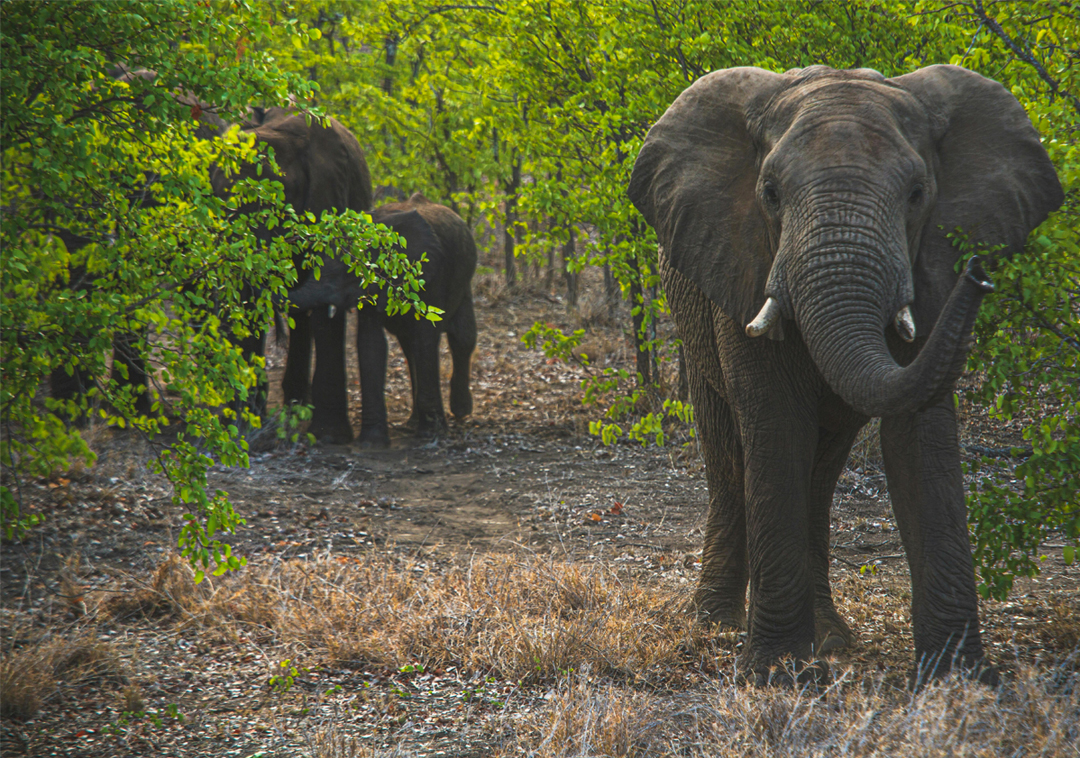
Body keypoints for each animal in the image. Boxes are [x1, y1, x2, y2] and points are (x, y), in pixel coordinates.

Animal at [287, 193, 477, 449]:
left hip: (464, 279)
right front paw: (372, 442)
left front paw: (432, 434)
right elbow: (371, 344)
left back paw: (460, 412)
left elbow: (426, 339)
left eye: (347, 272)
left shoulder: (429, 276)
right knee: (410, 347)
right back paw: (412, 423)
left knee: (462, 337)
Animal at [626, 62, 1062, 686]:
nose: (977, 272)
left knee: (822, 471)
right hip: (691, 318)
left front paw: (958, 681)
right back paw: (717, 625)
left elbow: (920, 439)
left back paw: (830, 639)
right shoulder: (743, 261)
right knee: (729, 454)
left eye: (917, 195)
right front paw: (776, 673)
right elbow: (776, 426)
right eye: (770, 194)